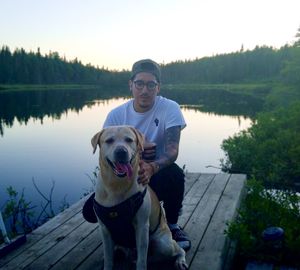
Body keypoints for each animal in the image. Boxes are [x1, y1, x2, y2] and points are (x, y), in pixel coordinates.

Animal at [91, 126, 186, 270]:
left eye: (129, 140)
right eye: (109, 140)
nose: (121, 151)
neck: (117, 185)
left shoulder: (142, 226)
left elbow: (142, 259)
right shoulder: (105, 229)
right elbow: (108, 257)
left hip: (164, 243)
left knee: (176, 249)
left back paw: (180, 260)